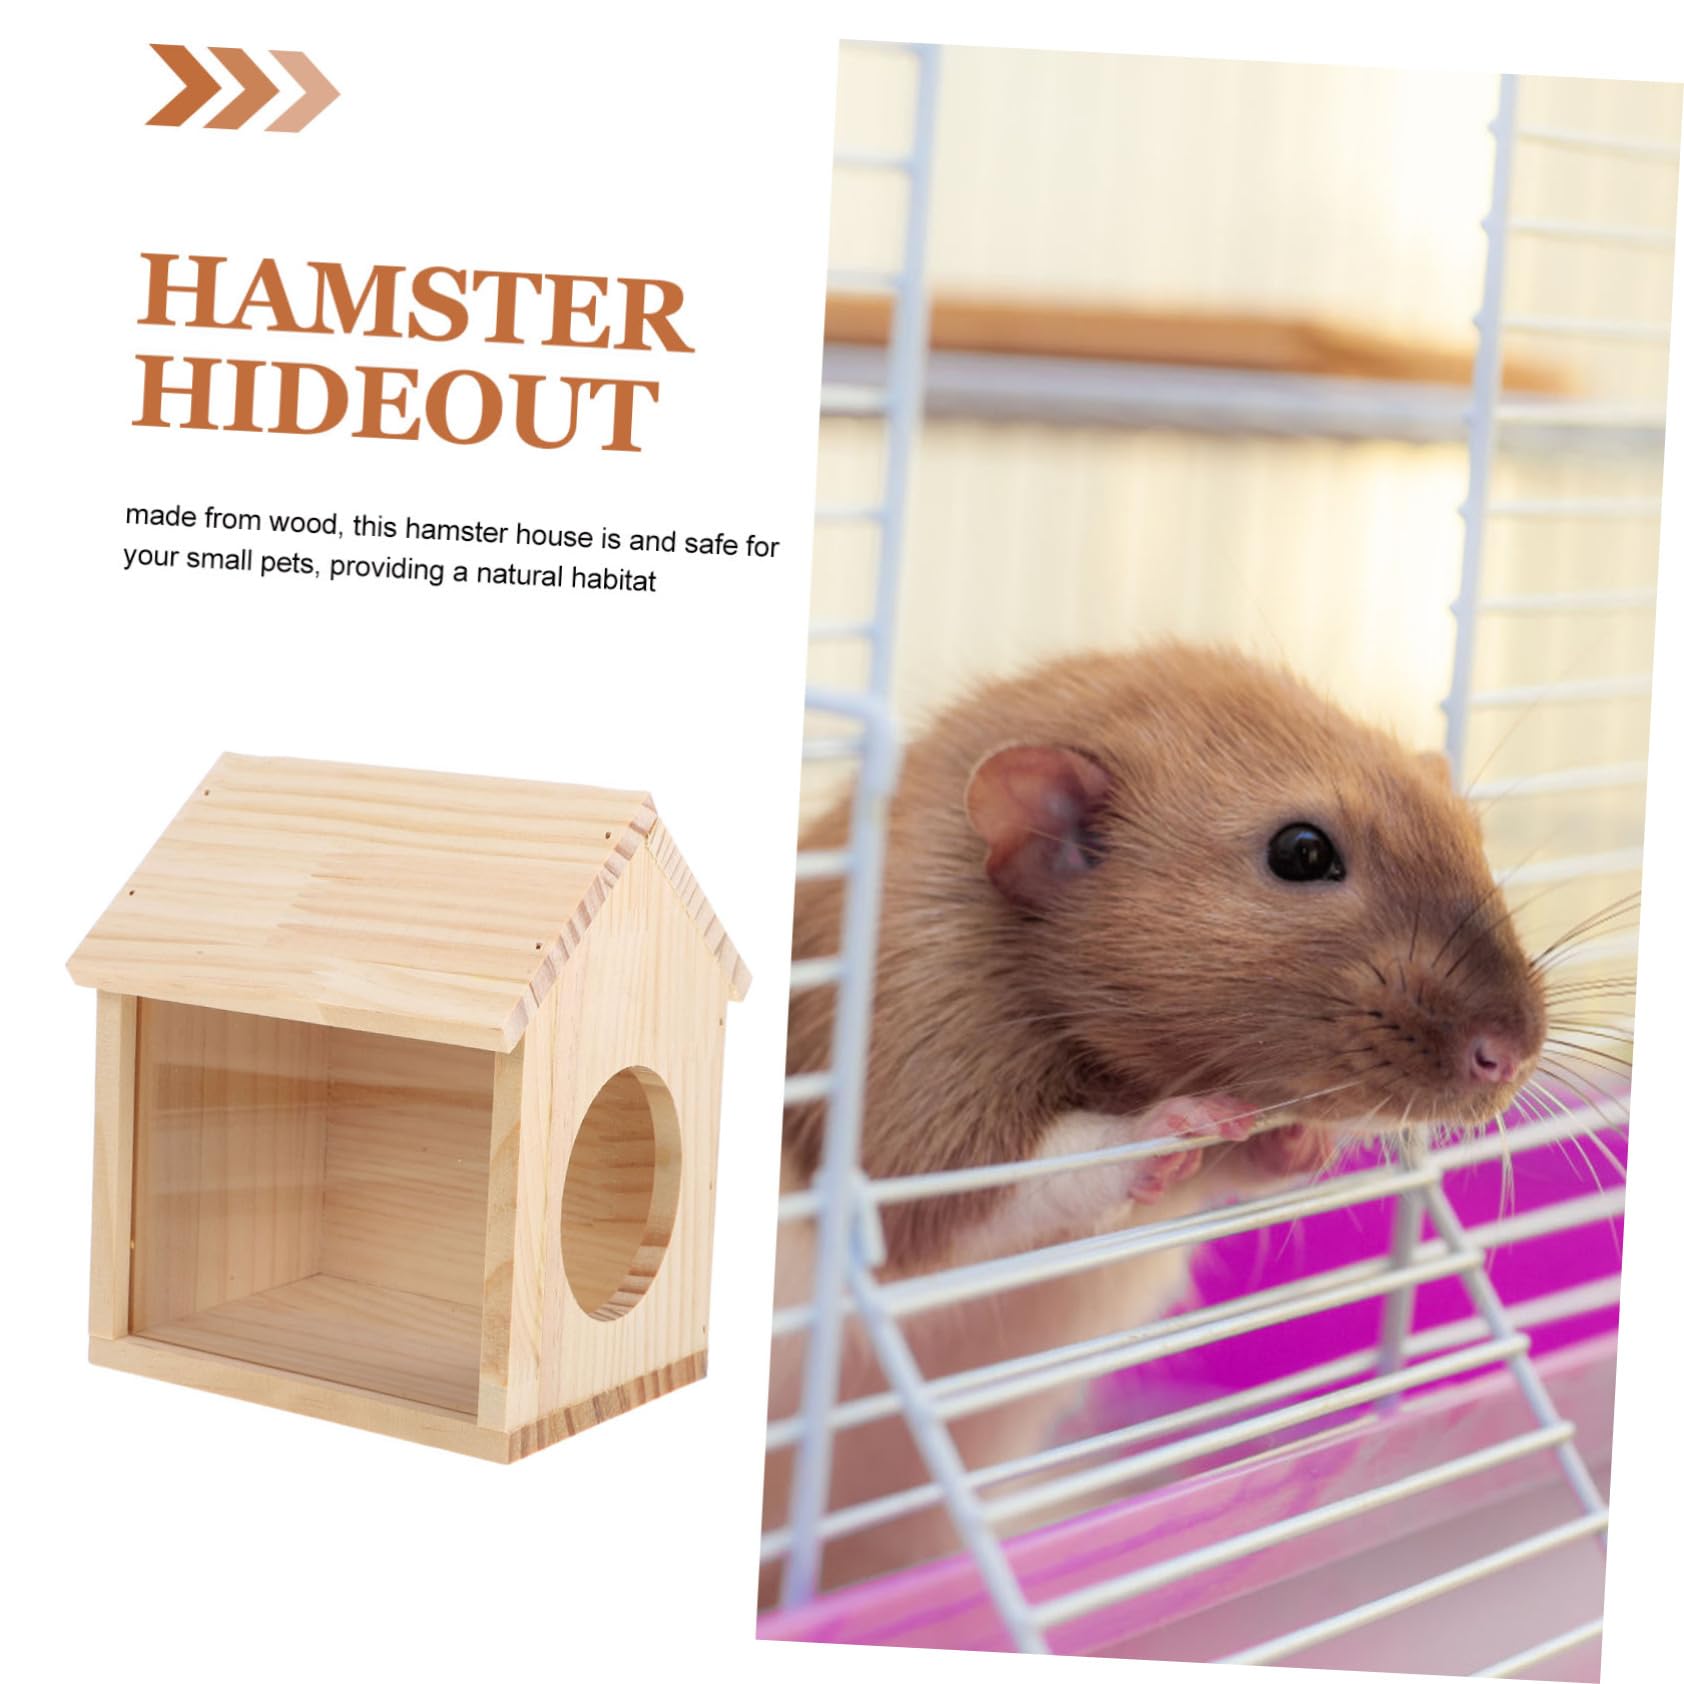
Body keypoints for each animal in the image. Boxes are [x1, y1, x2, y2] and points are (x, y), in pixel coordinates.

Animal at [763, 645, 1546, 1597]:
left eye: (1470, 834)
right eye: (1303, 851)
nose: (1511, 1053)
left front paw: (1296, 1139)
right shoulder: (916, 1020)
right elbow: (943, 1197)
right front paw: (1155, 1132)